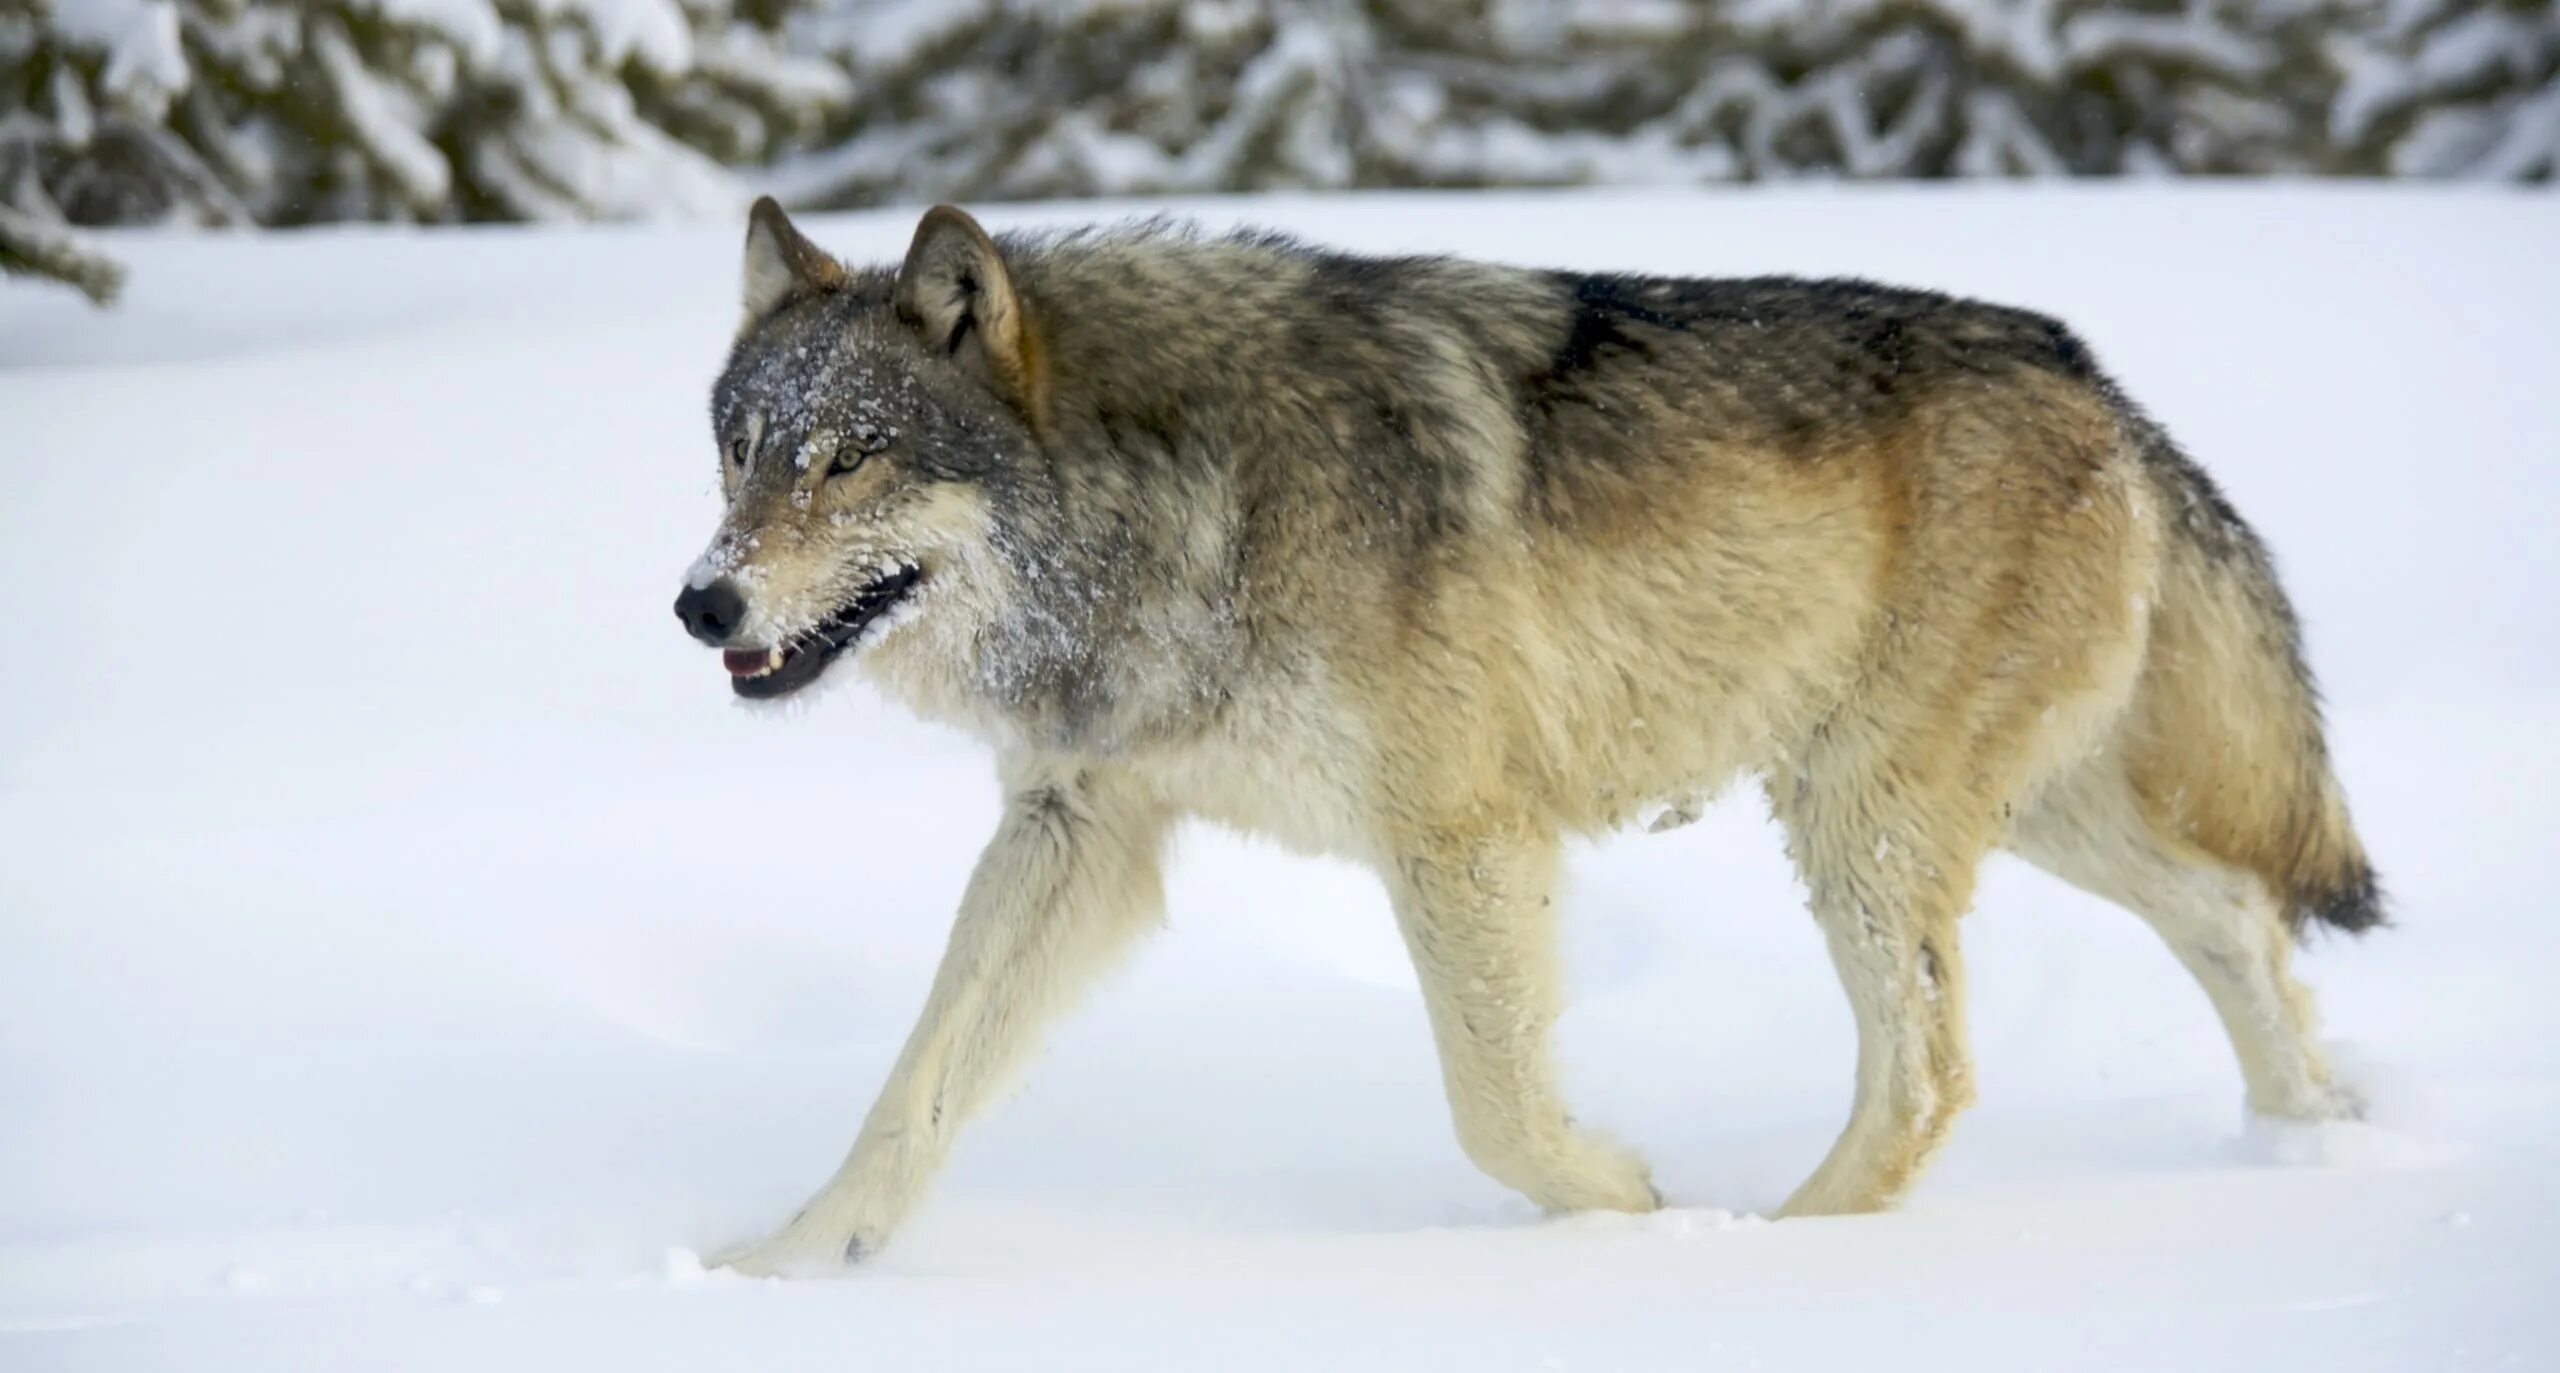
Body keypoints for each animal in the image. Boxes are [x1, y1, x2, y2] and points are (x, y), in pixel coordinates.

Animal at [665, 198, 2375, 1270]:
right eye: (741, 452)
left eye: (852, 458)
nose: (698, 601)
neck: (1183, 505)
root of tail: (2095, 378)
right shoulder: (1077, 828)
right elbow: (912, 1086)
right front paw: (787, 1270)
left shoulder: (1462, 833)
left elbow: (1494, 1107)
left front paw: (1624, 1211)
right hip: (2017, 810)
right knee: (2235, 916)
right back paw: (2324, 1136)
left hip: (1865, 818)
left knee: (1932, 1074)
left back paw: (1778, 1260)